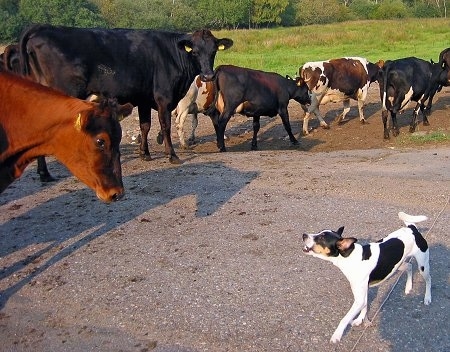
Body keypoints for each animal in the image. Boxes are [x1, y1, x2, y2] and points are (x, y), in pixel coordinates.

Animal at [18, 24, 234, 165]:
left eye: (213, 50)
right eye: (194, 51)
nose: (208, 75)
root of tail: (42, 29)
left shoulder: (144, 99)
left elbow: (145, 126)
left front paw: (144, 154)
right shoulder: (163, 98)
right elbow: (165, 126)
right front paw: (172, 155)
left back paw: (45, 174)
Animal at [302, 212, 432, 344]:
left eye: (321, 238)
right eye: (319, 233)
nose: (304, 235)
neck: (349, 257)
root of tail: (412, 229)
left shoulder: (359, 298)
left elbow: (345, 319)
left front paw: (337, 335)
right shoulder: (363, 292)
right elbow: (364, 306)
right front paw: (360, 320)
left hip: (422, 266)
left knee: (428, 279)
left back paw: (427, 297)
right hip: (396, 266)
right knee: (409, 266)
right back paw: (408, 287)